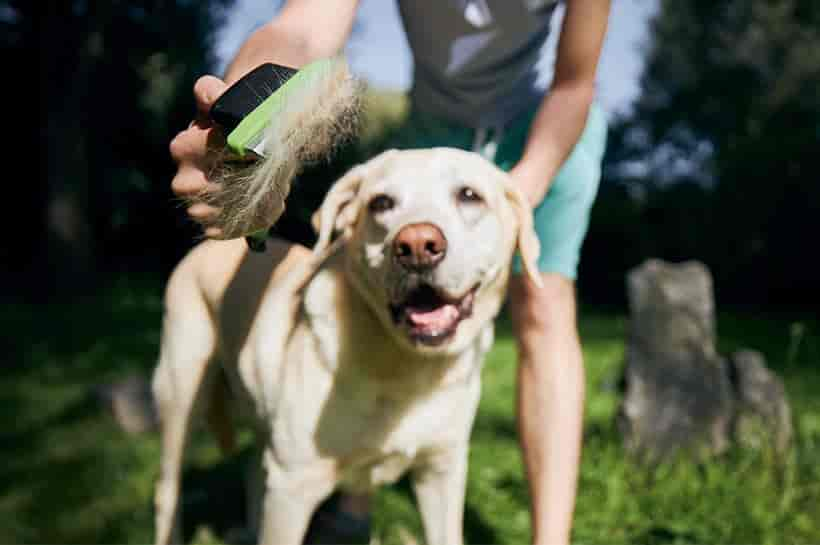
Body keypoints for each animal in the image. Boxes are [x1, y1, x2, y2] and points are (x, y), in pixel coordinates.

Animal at [151, 147, 540, 540]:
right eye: (381, 203)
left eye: (469, 195)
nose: (417, 245)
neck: (406, 368)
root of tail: (209, 246)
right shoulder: (292, 487)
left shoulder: (442, 471)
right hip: (182, 396)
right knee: (168, 491)